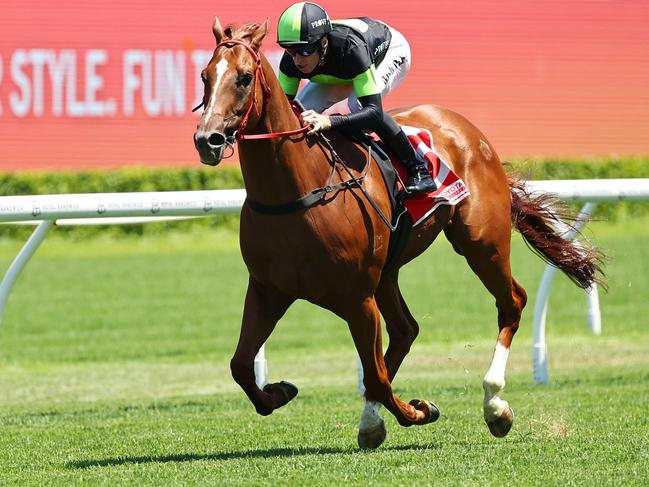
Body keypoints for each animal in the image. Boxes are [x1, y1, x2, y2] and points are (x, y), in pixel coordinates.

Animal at [192, 19, 604, 450]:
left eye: (243, 78)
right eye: (205, 76)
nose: (208, 140)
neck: (296, 190)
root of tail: (470, 131)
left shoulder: (357, 297)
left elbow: (375, 376)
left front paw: (419, 411)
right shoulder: (268, 289)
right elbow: (240, 365)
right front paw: (279, 392)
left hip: (481, 243)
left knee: (511, 303)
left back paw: (495, 406)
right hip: (388, 271)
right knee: (406, 329)